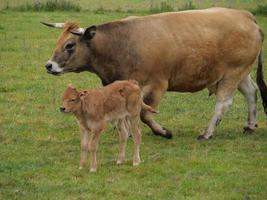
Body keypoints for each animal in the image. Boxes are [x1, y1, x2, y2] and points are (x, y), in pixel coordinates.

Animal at [42, 7, 267, 139]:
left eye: (70, 45)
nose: (49, 65)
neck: (120, 43)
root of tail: (246, 15)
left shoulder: (156, 85)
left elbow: (144, 113)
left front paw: (162, 131)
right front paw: (127, 132)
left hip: (232, 73)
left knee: (223, 103)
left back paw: (207, 132)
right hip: (240, 73)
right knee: (251, 92)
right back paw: (250, 125)